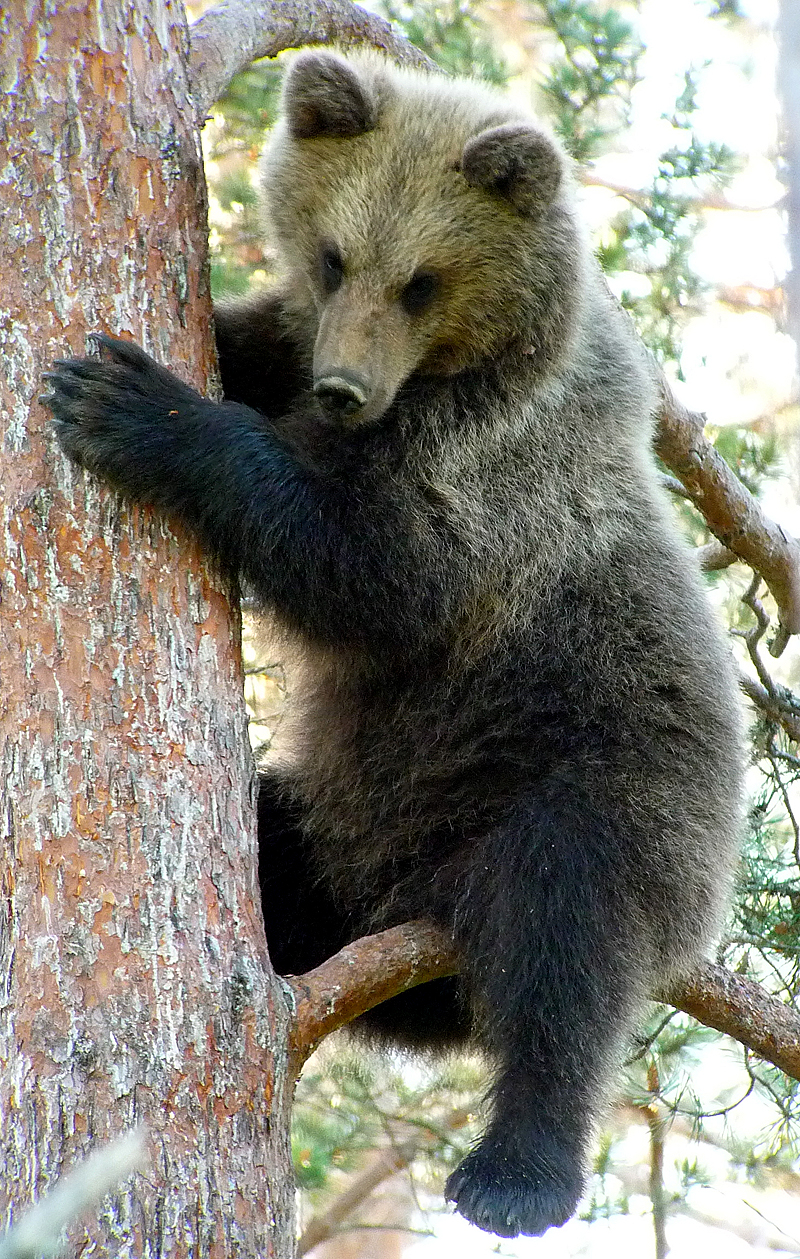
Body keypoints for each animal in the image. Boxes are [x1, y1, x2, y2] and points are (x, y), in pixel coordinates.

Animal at [42, 46, 745, 1238]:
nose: (344, 388)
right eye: (334, 257)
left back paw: (516, 1170)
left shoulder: (492, 481)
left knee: (564, 944)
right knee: (281, 852)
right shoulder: (303, 347)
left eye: (421, 279)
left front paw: (127, 400)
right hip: (335, 837)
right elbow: (250, 345)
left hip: (605, 783)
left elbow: (372, 568)